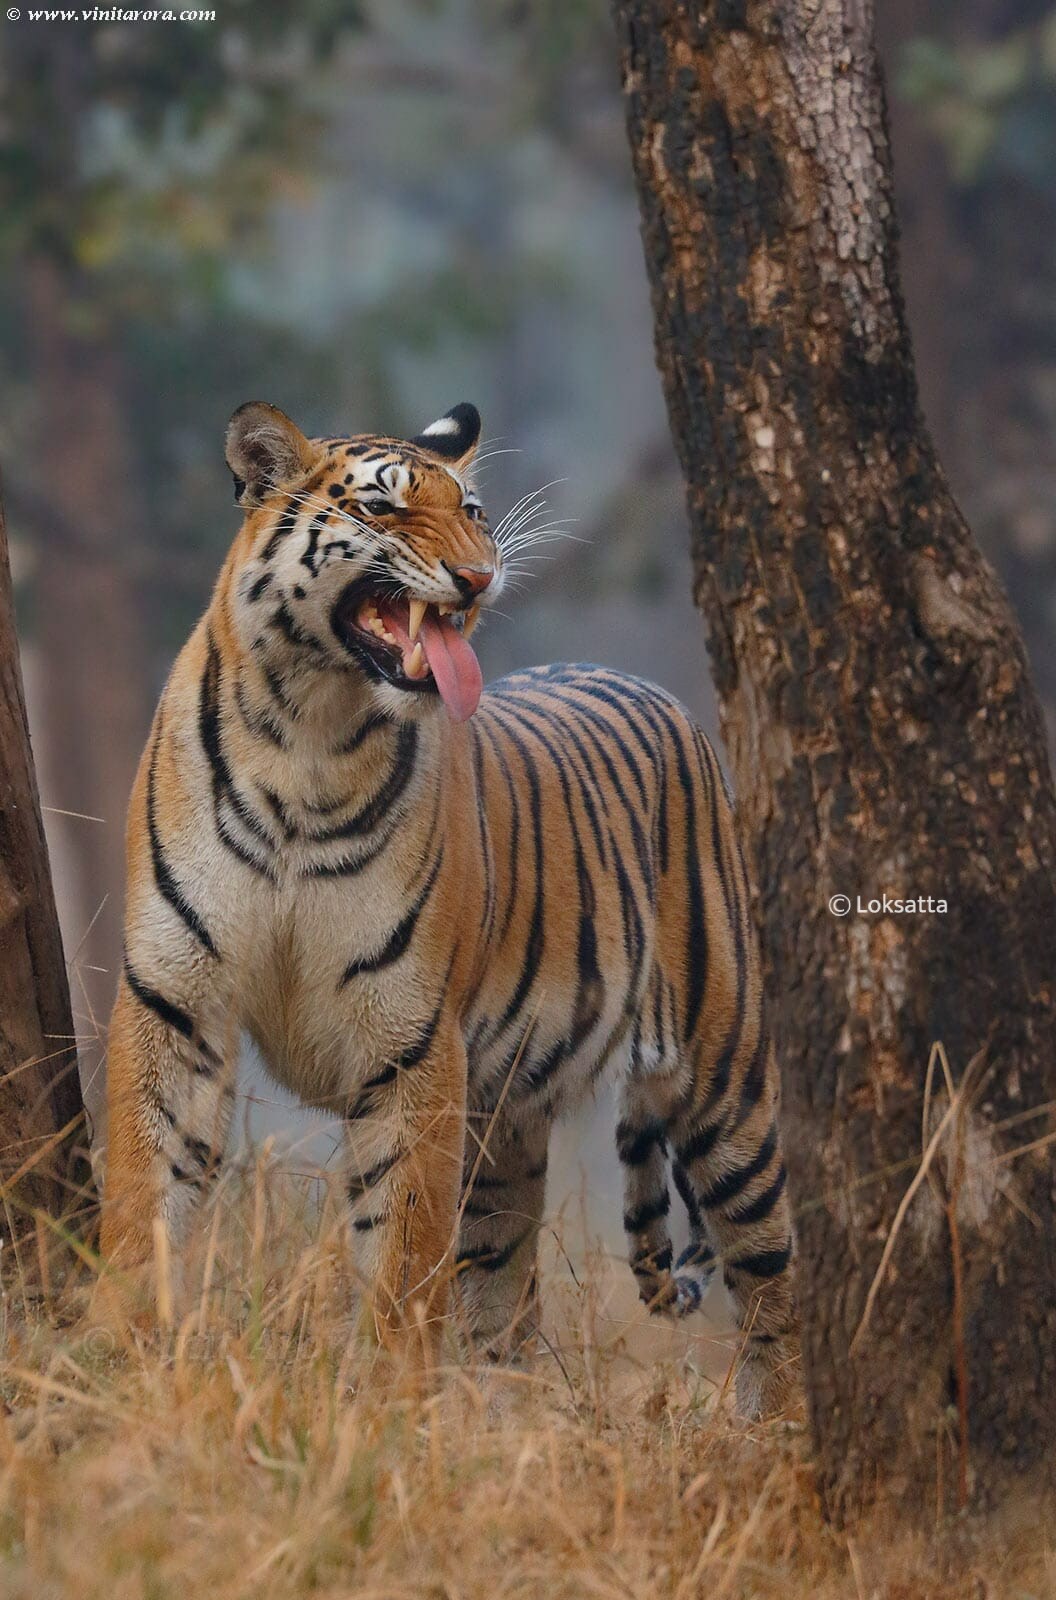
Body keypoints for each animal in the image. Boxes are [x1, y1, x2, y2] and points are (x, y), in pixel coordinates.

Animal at [99, 396, 796, 1414]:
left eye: (471, 509)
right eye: (384, 509)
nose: (480, 574)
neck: (305, 736)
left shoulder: (410, 1038)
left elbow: (401, 1247)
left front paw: (387, 1395)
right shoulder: (174, 1000)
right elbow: (143, 1186)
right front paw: (119, 1352)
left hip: (726, 1084)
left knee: (772, 1278)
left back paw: (787, 1429)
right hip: (506, 1124)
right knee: (505, 1288)